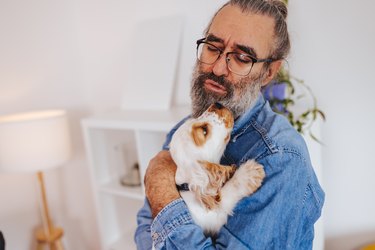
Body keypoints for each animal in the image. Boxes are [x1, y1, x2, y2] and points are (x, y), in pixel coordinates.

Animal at [170, 102, 268, 235]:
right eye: (204, 131)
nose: (217, 104)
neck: (188, 187)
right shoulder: (213, 219)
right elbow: (226, 195)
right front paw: (250, 173)